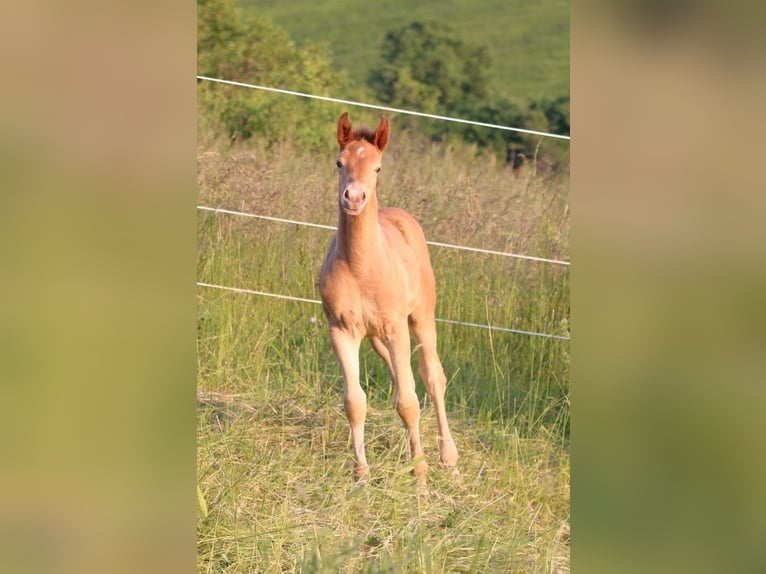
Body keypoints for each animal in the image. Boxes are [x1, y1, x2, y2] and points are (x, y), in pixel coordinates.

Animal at [320, 111, 460, 482]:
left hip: (420, 318)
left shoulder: (398, 327)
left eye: (378, 168)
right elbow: (355, 402)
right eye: (339, 162)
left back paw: (449, 457)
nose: (354, 198)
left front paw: (421, 477)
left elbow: (410, 402)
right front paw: (362, 477)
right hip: (376, 338)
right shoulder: (341, 330)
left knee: (431, 377)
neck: (361, 267)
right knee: (403, 380)